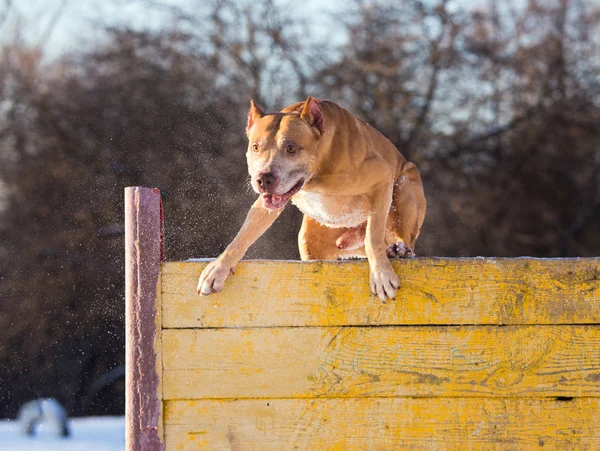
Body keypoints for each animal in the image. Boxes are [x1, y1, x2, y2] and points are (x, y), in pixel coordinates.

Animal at [197, 97, 426, 302]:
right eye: (255, 147)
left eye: (291, 148)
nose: (263, 179)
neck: (316, 173)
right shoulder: (265, 205)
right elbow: (244, 234)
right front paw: (218, 268)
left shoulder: (381, 178)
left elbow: (373, 236)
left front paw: (381, 275)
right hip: (311, 241)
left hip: (406, 187)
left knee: (400, 234)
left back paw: (398, 250)